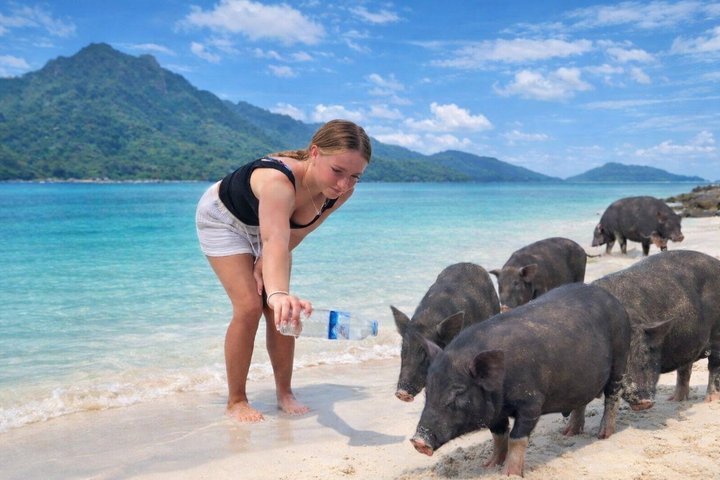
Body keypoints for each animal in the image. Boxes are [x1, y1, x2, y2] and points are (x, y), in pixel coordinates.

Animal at [410, 283, 630, 477]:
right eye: (428, 392)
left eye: (458, 393)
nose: (418, 440)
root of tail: (614, 300)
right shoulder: (495, 412)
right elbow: (499, 435)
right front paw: (489, 466)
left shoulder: (531, 402)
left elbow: (516, 438)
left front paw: (509, 474)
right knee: (581, 401)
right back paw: (567, 433)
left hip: (620, 357)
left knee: (613, 394)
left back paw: (603, 435)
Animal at [592, 250, 720, 410]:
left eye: (648, 350)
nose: (645, 402)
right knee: (685, 367)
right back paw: (674, 400)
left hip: (717, 334)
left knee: (714, 366)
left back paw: (710, 401)